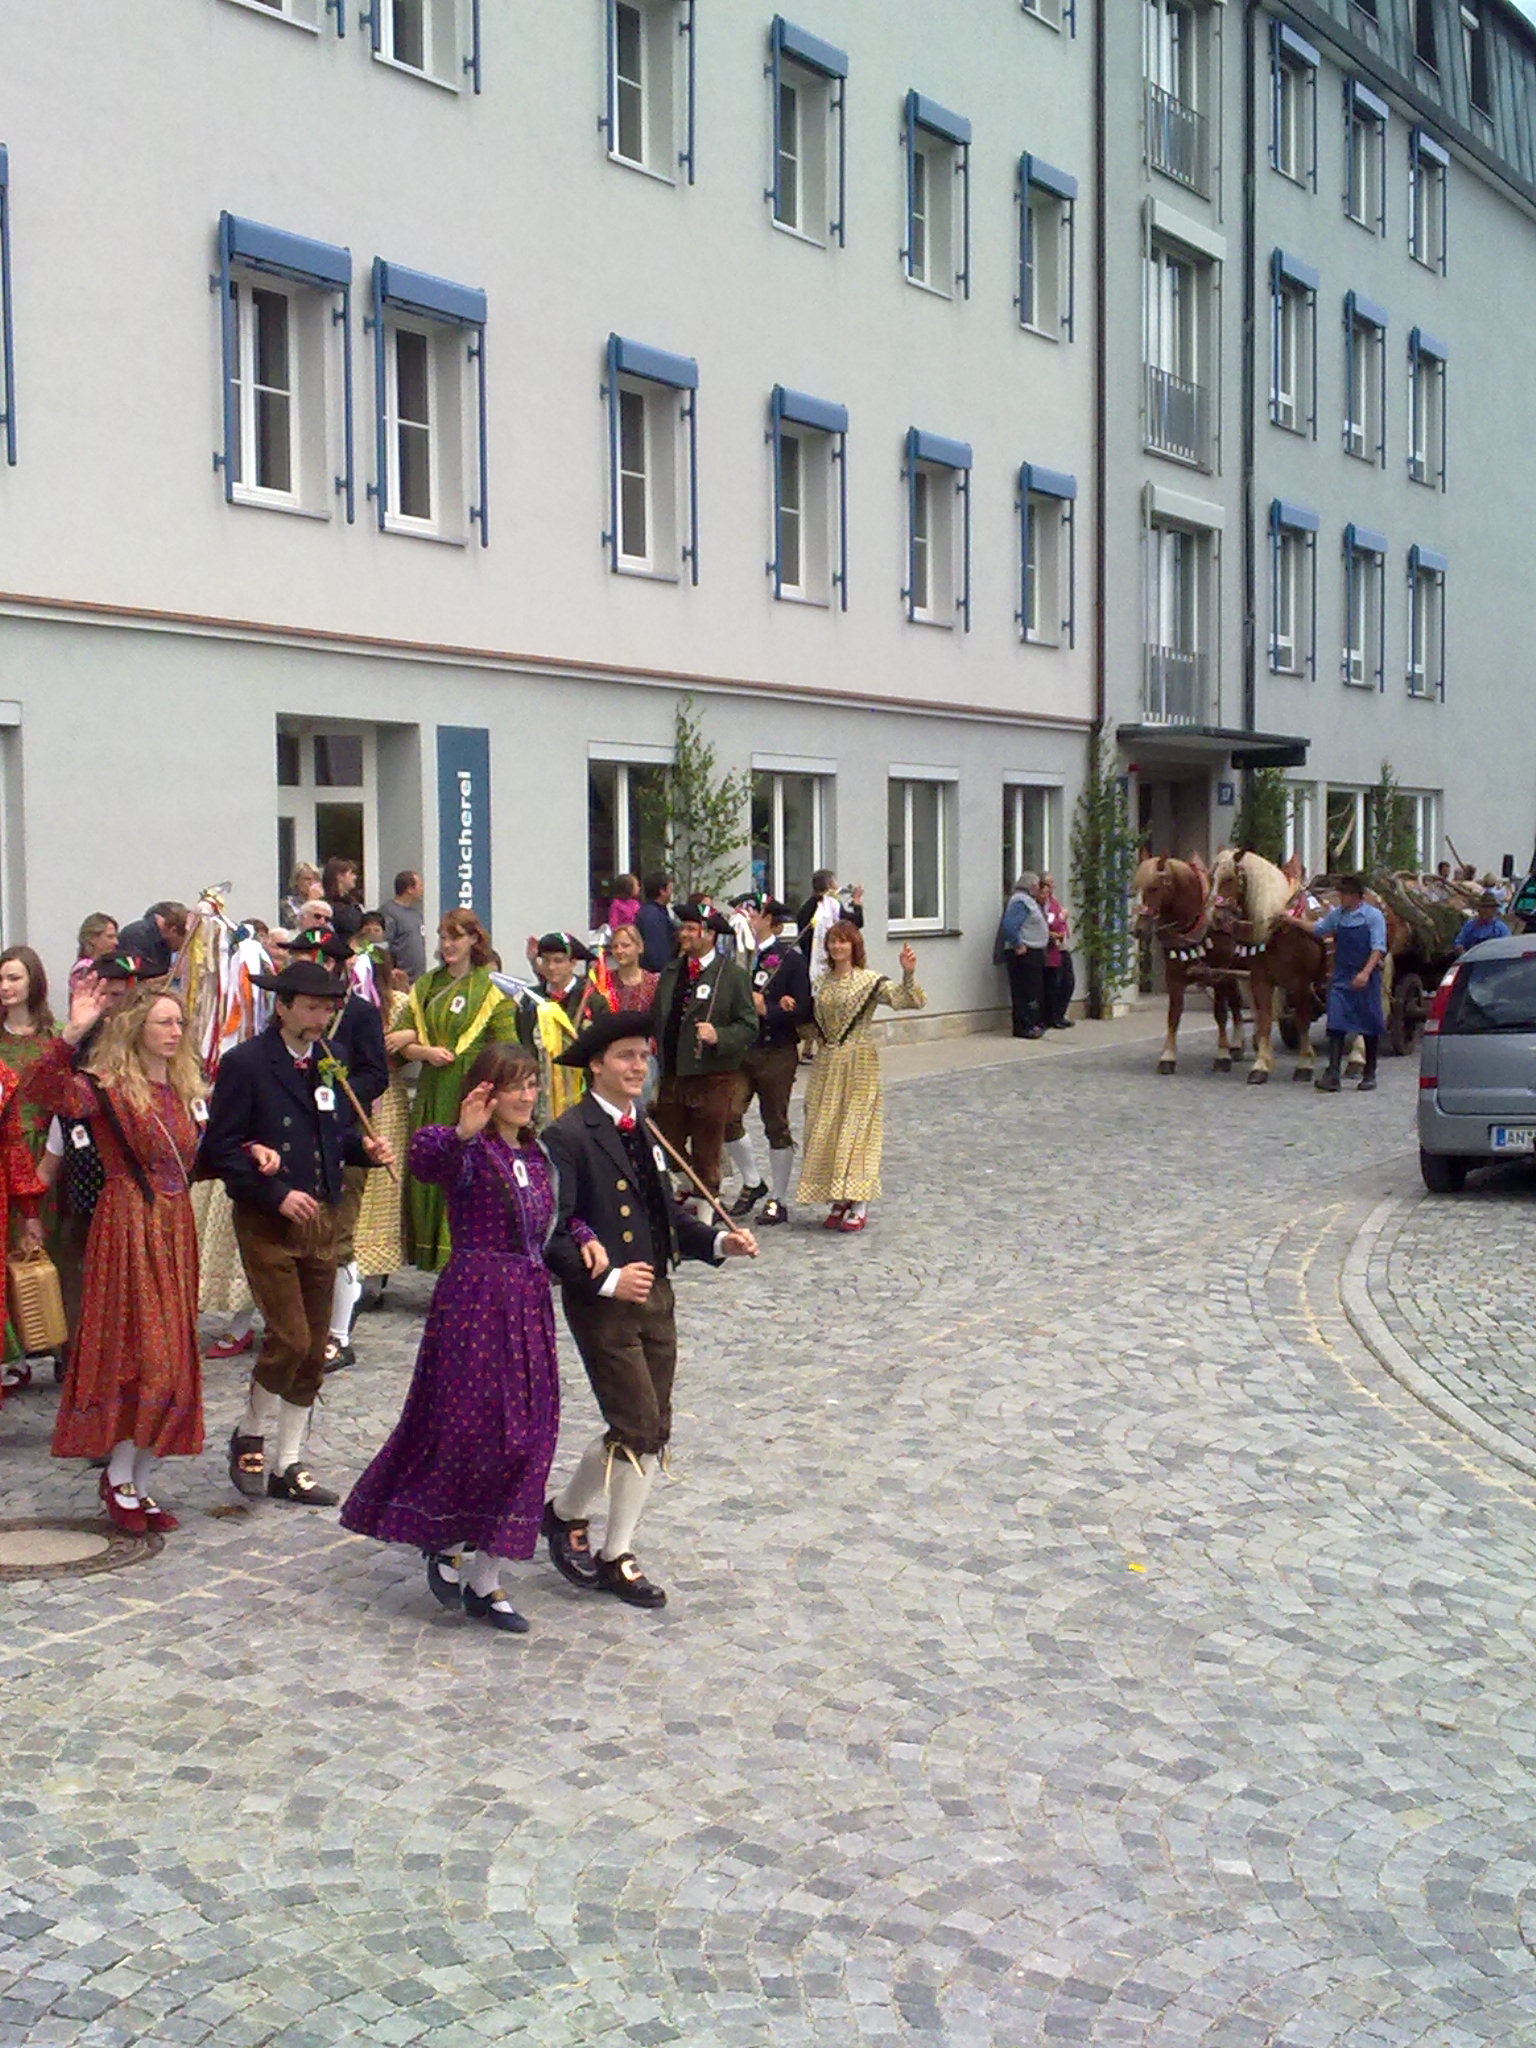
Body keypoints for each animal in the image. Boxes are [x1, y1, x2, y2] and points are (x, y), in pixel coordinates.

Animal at [1138, 856, 1253, 1081]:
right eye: (1134, 886)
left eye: (1154, 887)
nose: (1137, 929)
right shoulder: (1173, 976)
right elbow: (1173, 1015)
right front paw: (1168, 1057)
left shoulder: (1218, 973)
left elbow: (1220, 1013)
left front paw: (1222, 1055)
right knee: (1236, 1002)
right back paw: (1237, 1045)